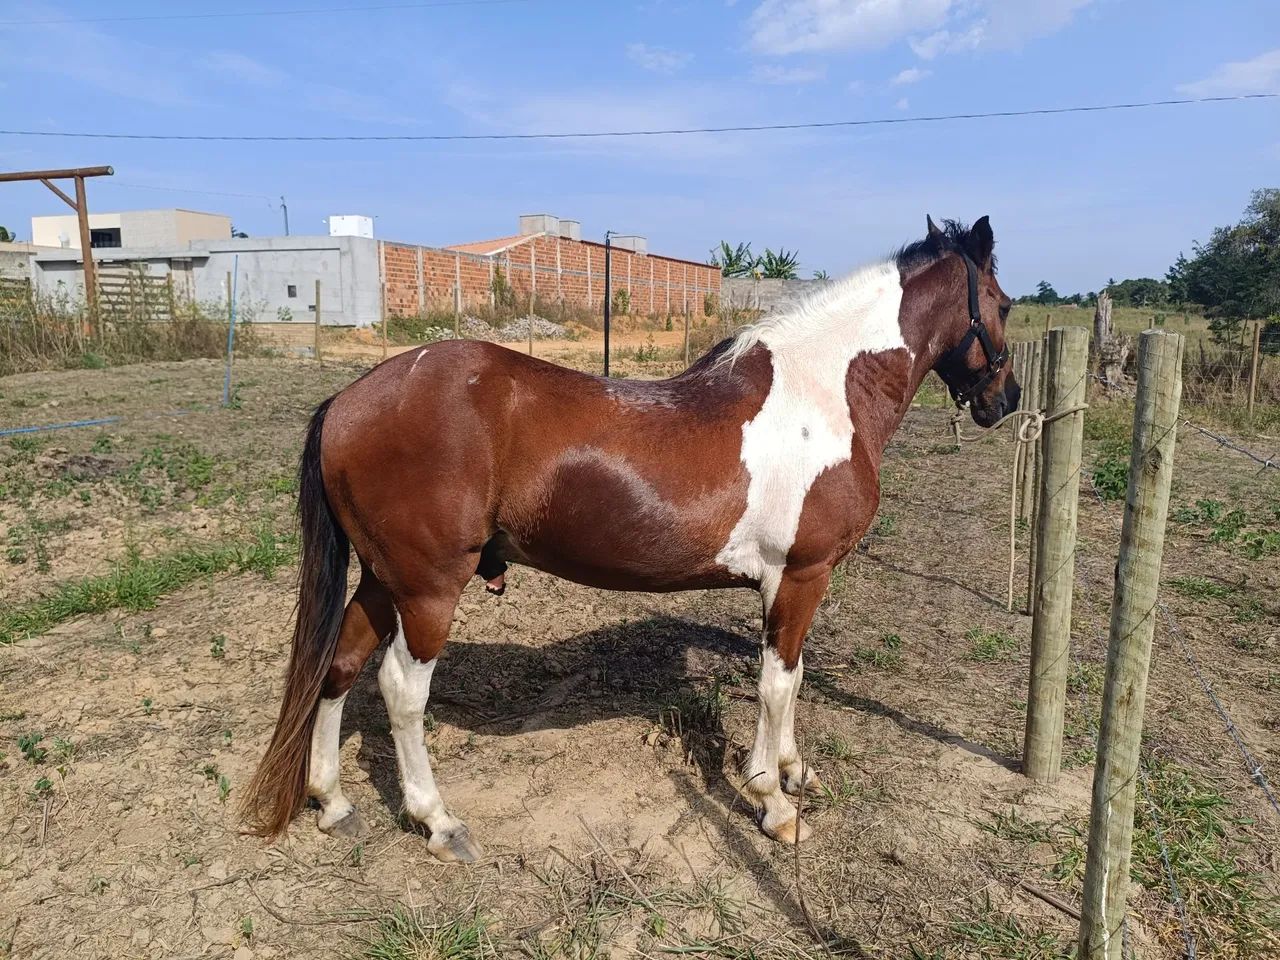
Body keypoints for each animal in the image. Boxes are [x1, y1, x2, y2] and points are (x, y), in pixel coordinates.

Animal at [241, 215, 1019, 862]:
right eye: (1004, 304)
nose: (1004, 401)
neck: (824, 392)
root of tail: (351, 399)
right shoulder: (801, 574)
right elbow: (778, 683)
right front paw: (772, 801)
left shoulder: (796, 582)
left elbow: (790, 678)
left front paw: (794, 771)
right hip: (430, 587)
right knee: (401, 691)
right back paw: (437, 822)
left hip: (384, 579)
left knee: (339, 666)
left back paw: (333, 802)